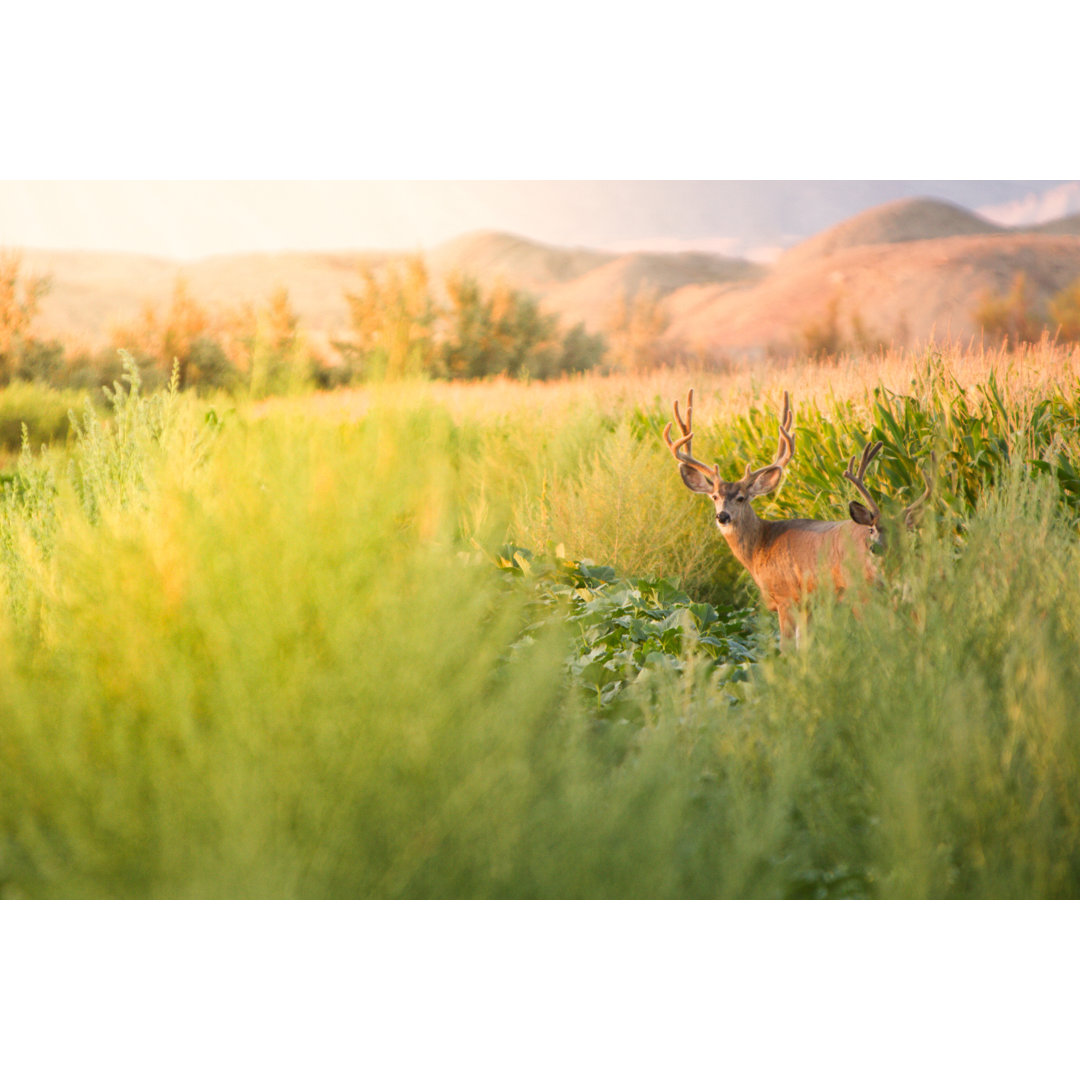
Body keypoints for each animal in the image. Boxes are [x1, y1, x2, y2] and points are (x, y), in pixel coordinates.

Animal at [660, 386, 933, 639]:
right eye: (714, 496)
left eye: (741, 497)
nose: (722, 516)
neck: (760, 546)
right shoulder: (807, 605)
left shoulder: (786, 597)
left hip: (861, 591)